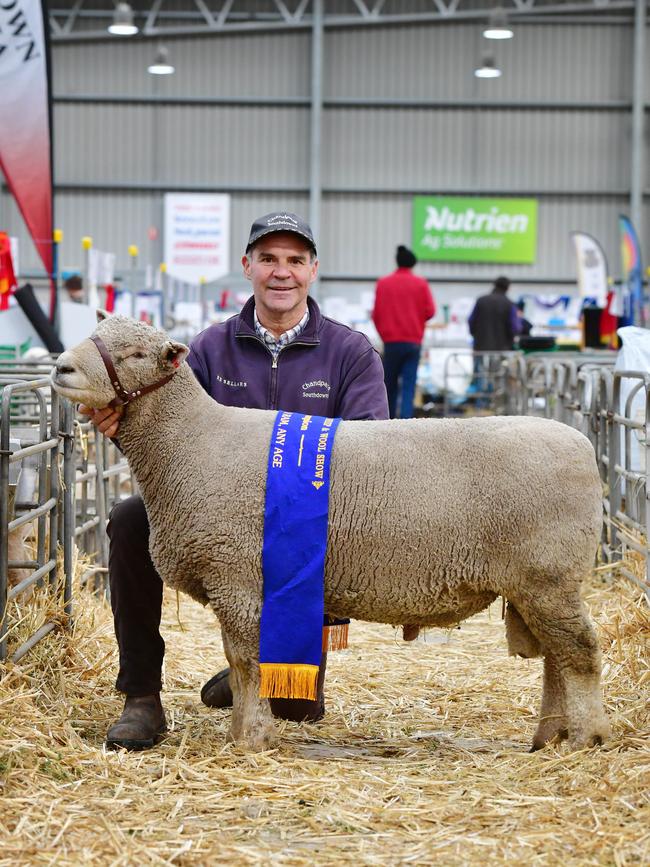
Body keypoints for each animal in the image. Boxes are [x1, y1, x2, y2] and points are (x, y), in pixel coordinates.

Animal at [50, 318, 608, 752]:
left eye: (136, 353)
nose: (61, 367)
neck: (189, 442)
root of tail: (585, 447)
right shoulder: (238, 580)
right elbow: (237, 660)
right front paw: (241, 732)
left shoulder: (237, 574)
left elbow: (247, 659)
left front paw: (253, 737)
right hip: (538, 584)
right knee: (556, 657)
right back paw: (549, 737)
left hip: (549, 574)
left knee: (579, 651)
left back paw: (586, 737)